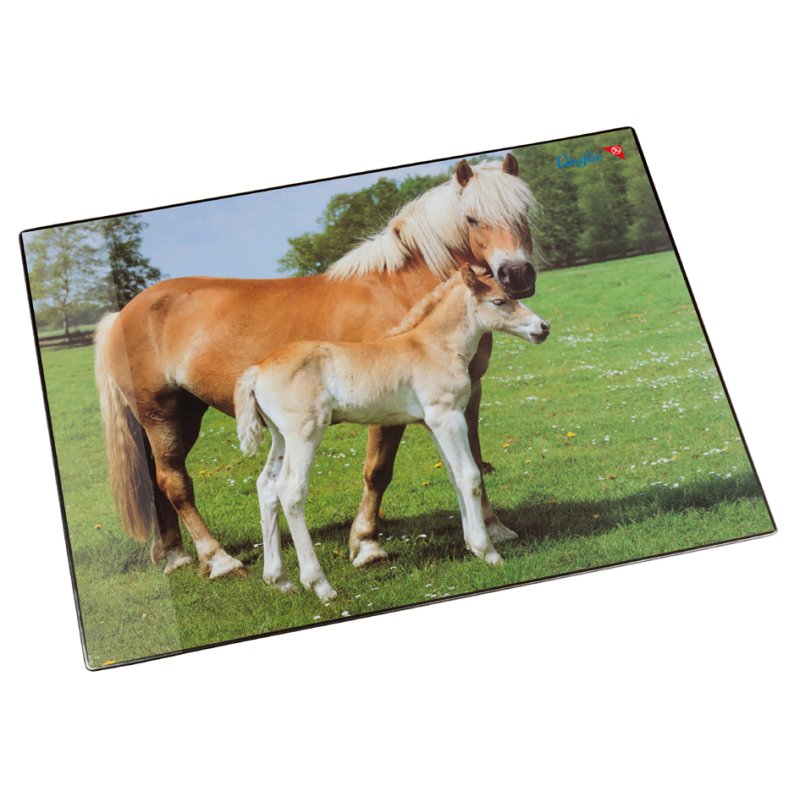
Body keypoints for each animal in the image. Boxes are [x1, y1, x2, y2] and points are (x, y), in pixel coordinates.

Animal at [94, 154, 537, 579]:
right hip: (161, 415)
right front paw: (366, 545)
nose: (517, 274)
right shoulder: (391, 411)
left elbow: (471, 460)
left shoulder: (467, 395)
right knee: (175, 482)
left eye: (525, 212)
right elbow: (378, 471)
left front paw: (494, 529)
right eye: (473, 218)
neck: (403, 295)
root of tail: (122, 314)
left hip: (184, 415)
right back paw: (218, 559)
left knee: (159, 481)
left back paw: (174, 555)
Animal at [234, 266, 550, 601]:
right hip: (304, 433)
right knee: (290, 491)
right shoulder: (447, 416)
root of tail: (258, 369)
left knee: (266, 487)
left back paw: (279, 579)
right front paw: (487, 551)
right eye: (499, 301)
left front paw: (471, 545)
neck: (434, 347)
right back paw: (320, 585)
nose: (543, 327)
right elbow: (469, 476)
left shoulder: (432, 423)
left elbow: (454, 476)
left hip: (280, 436)